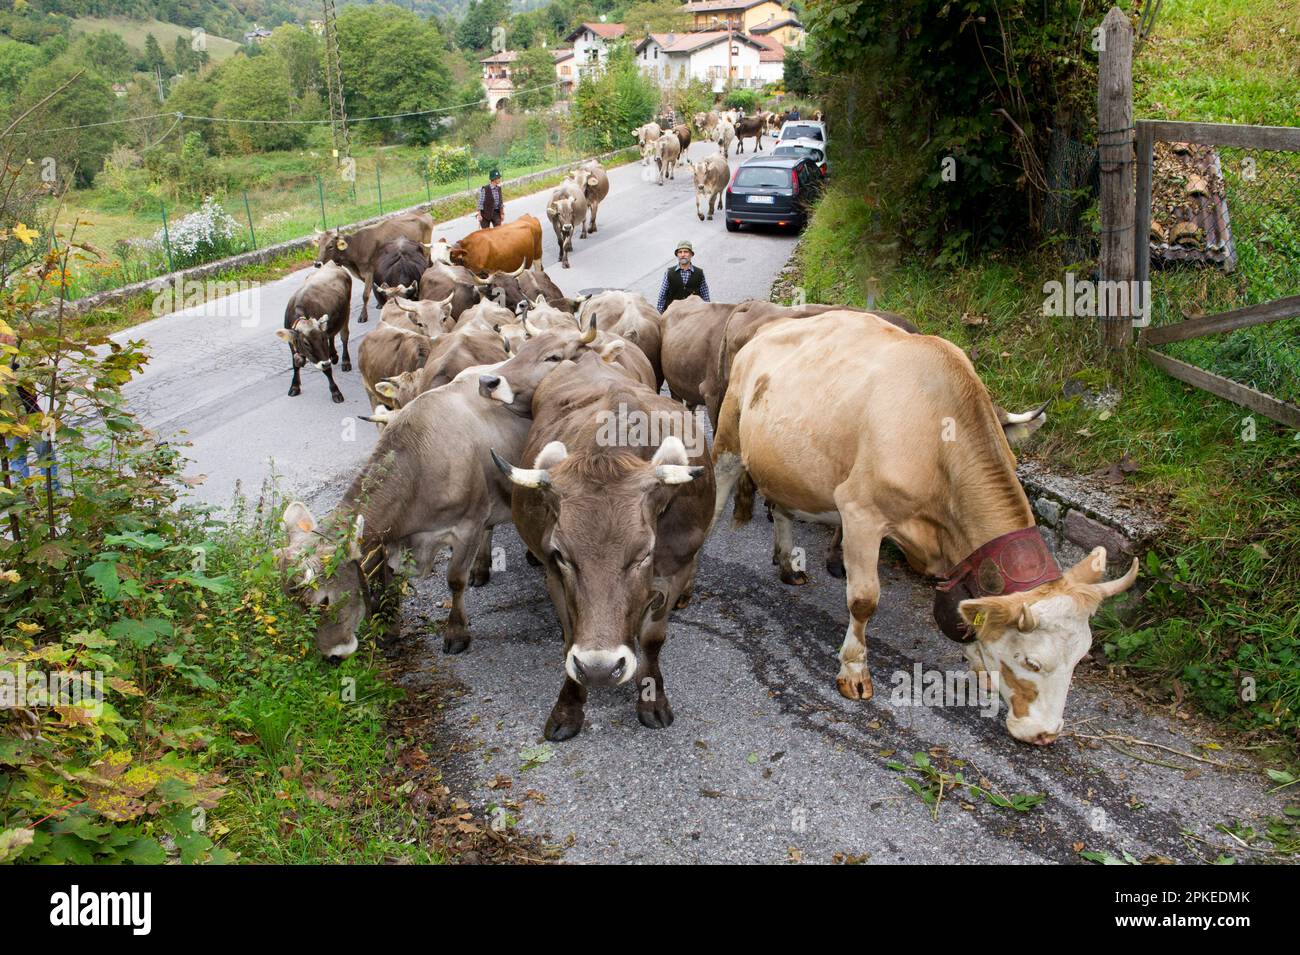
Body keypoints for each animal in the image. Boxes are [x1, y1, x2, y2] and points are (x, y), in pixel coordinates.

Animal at [488, 348, 712, 743]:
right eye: (562, 555)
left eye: (644, 553)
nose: (599, 668)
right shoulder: (556, 579)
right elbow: (568, 639)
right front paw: (568, 709)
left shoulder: (674, 567)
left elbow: (653, 638)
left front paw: (652, 699)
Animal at [712, 310, 1138, 743]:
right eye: (1032, 662)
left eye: (1080, 657)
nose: (1046, 734)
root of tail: (767, 328)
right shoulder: (860, 511)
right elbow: (864, 600)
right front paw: (854, 671)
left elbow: (965, 608)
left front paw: (979, 664)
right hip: (729, 440)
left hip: (785, 463)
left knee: (782, 507)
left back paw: (788, 565)